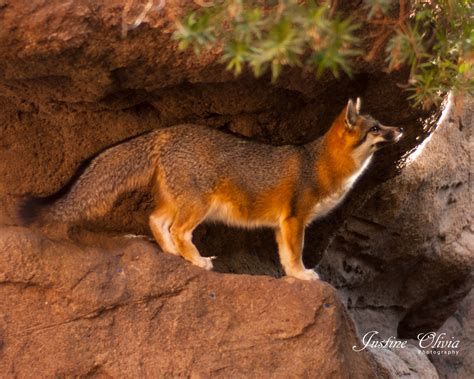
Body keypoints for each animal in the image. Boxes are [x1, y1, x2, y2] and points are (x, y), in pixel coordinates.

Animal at [20, 98, 402, 280]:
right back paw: (197, 260)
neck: (320, 163)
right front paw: (303, 276)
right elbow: (294, 254)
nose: (399, 130)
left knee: (156, 220)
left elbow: (282, 255)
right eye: (376, 128)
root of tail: (167, 131)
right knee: (177, 230)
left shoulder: (283, 225)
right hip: (198, 206)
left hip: (178, 202)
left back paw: (174, 256)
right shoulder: (295, 219)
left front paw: (293, 275)